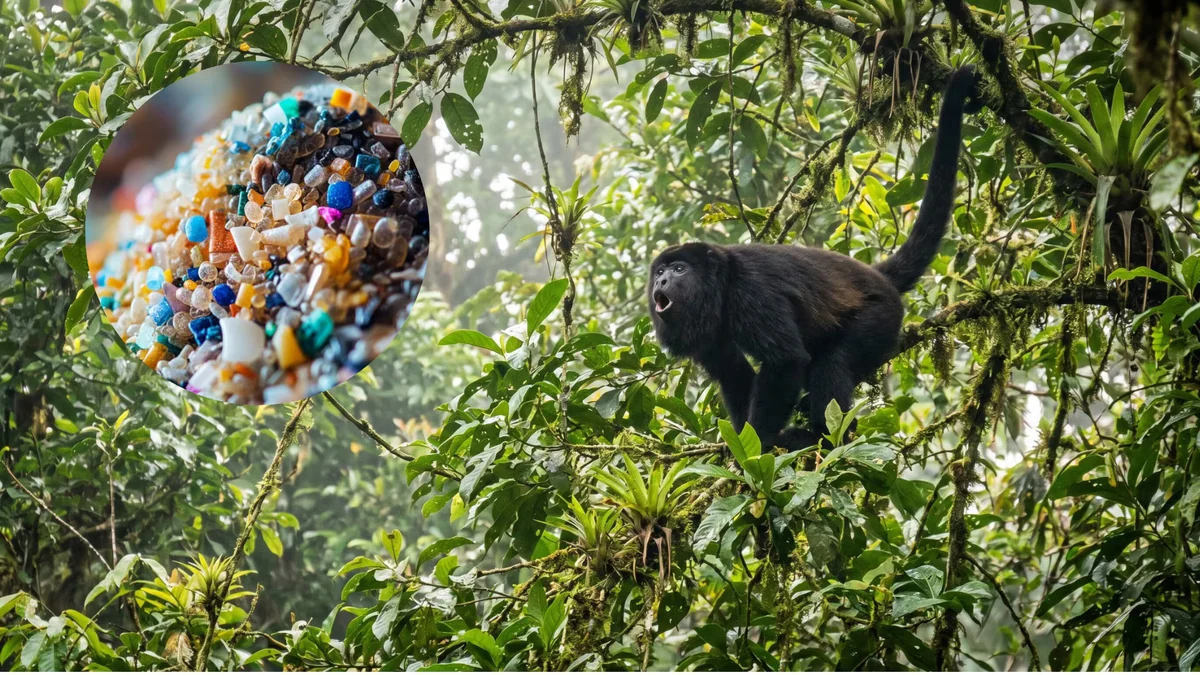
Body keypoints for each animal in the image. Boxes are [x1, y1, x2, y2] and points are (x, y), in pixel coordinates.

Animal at [647, 65, 978, 449]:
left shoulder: (752, 293)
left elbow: (785, 361)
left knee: (832, 363)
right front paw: (740, 440)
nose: (662, 279)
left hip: (882, 315)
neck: (721, 287)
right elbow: (732, 370)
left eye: (680, 269)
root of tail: (878, 277)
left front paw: (760, 444)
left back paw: (828, 437)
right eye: (661, 272)